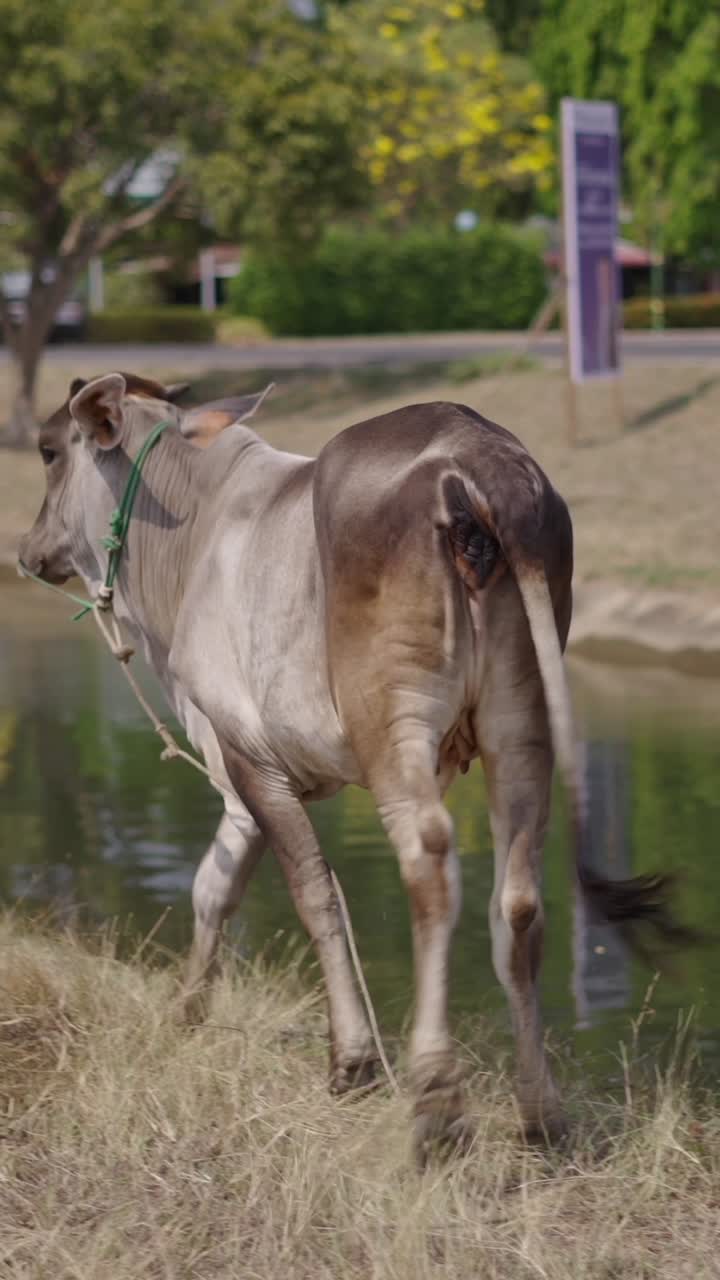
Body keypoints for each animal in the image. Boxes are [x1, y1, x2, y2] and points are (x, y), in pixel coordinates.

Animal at [18, 371, 683, 1154]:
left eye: (49, 450)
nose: (28, 550)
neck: (193, 532)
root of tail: (478, 458)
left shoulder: (245, 754)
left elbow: (313, 895)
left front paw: (353, 1059)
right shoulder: (243, 779)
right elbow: (214, 886)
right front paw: (186, 1011)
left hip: (395, 721)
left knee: (430, 865)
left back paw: (437, 1105)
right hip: (521, 723)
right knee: (518, 899)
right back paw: (540, 1114)